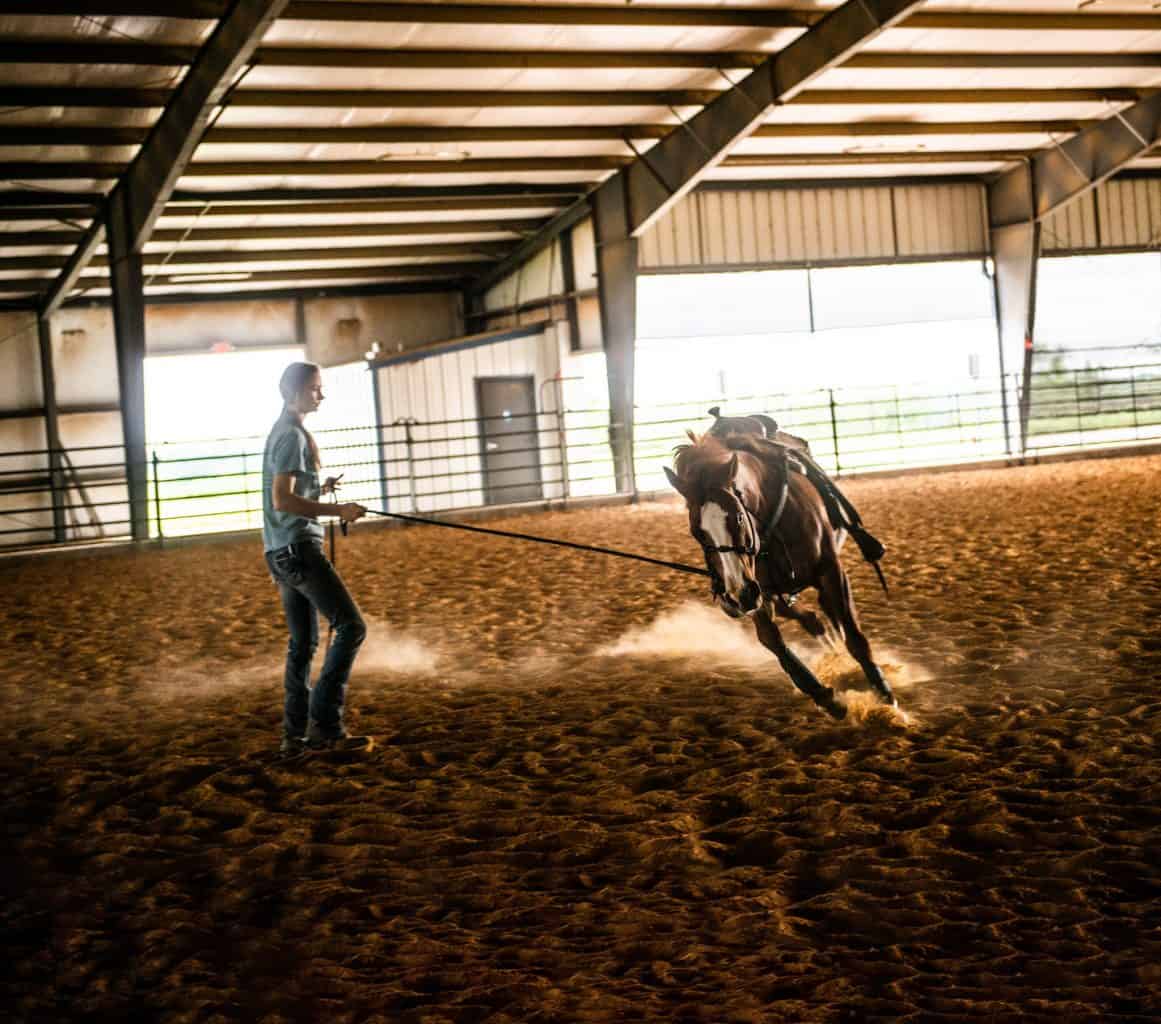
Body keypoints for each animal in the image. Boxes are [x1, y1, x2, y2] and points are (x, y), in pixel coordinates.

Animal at [664, 431, 896, 719]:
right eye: (697, 531)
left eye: (738, 517)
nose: (734, 596)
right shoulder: (758, 592)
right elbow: (772, 641)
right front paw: (825, 696)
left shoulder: (831, 571)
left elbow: (854, 638)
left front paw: (885, 695)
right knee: (812, 619)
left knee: (827, 615)